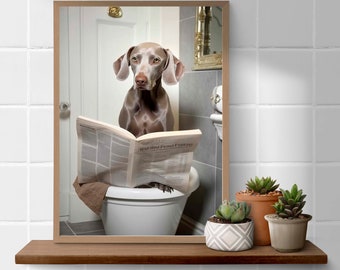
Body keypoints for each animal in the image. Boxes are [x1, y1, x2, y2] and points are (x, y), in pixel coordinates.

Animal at [113, 41, 185, 192]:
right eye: (134, 58)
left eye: (156, 60)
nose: (140, 80)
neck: (146, 100)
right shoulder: (127, 132)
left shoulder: (165, 133)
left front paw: (163, 183)